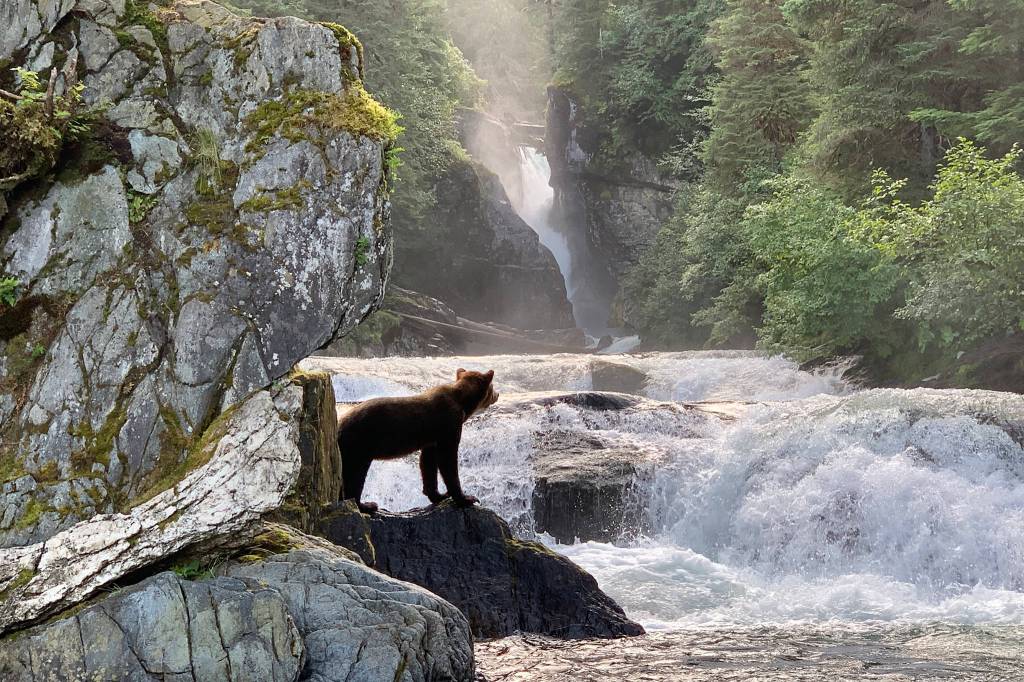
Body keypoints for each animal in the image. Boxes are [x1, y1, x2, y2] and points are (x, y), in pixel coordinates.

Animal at [338, 368, 499, 513]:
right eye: (493, 387)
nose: (497, 394)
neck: (463, 404)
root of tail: (339, 424)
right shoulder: (449, 424)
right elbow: (447, 460)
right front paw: (466, 498)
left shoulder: (432, 438)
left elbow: (428, 462)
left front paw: (438, 495)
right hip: (359, 443)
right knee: (354, 475)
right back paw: (366, 505)